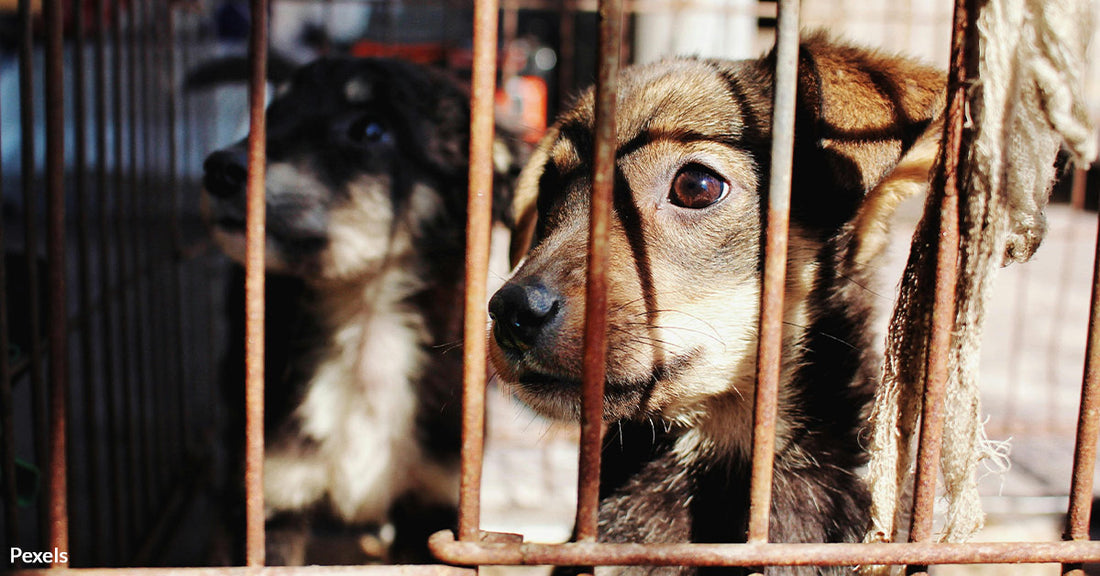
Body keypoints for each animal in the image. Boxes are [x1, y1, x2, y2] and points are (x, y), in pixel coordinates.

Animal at [201, 57, 519, 562]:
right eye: (275, 108)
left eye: (370, 129)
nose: (218, 170)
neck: (366, 323)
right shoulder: (270, 495)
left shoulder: (433, 498)